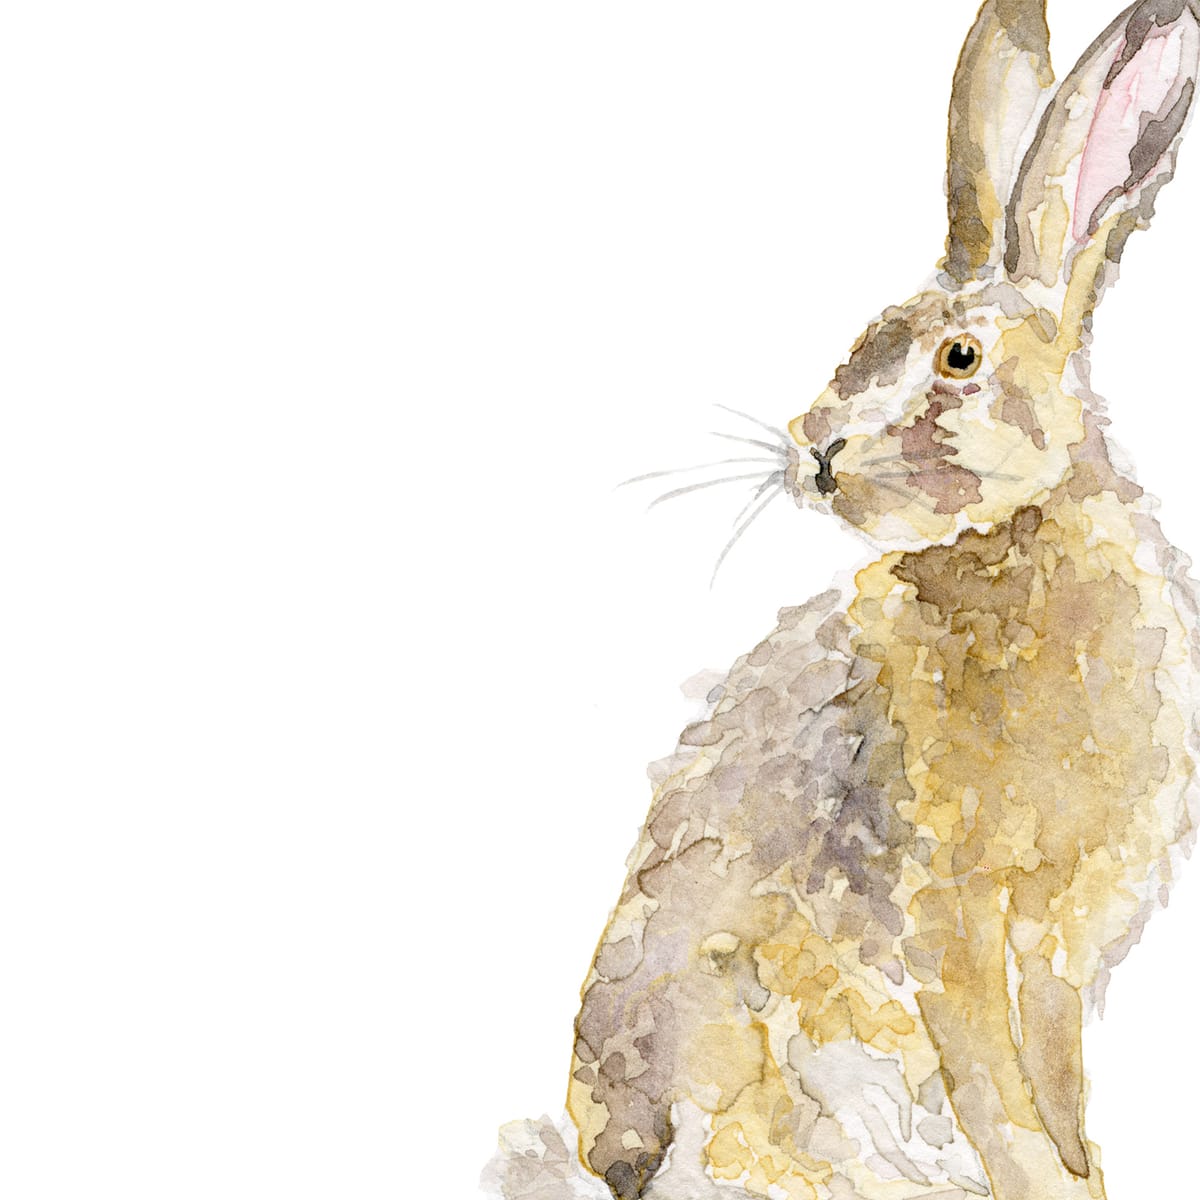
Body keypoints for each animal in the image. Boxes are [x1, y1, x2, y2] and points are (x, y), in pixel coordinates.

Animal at [484, 2, 1200, 1199]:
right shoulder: (955, 922)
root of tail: (614, 1164)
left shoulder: (1055, 952)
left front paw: (1082, 1179)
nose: (811, 453)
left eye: (958, 357)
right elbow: (999, 1092)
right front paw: (1040, 1184)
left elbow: (1055, 1094)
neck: (1007, 549)